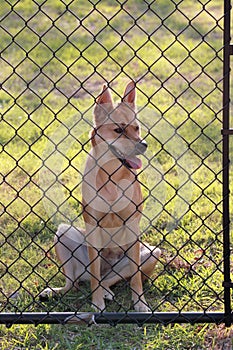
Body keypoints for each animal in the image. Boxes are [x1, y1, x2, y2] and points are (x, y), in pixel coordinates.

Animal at [39, 82, 160, 312]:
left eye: (136, 128)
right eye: (118, 130)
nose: (144, 145)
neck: (111, 176)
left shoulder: (133, 227)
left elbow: (135, 279)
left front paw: (139, 304)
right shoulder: (93, 227)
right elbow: (95, 275)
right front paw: (96, 304)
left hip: (150, 253)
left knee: (109, 278)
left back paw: (106, 291)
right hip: (64, 234)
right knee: (78, 281)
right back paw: (55, 292)